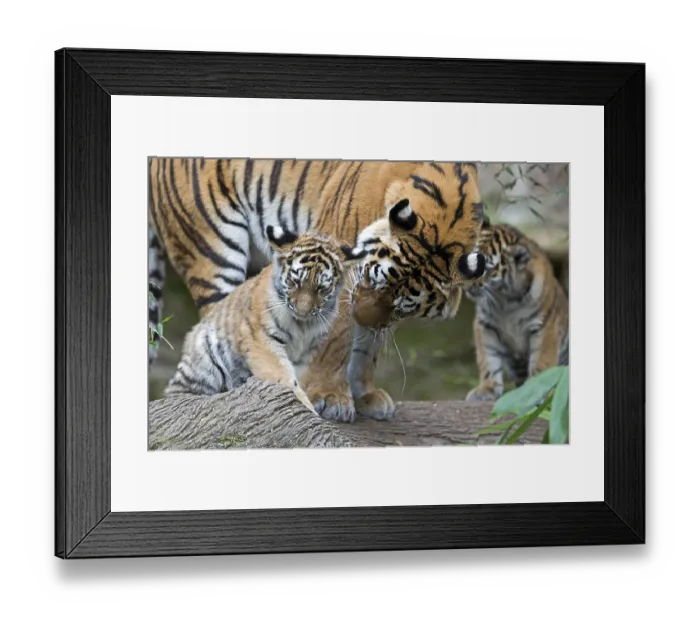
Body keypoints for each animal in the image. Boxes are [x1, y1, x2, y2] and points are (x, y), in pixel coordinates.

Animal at [164, 227, 360, 414]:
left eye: (321, 288)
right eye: (295, 282)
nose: (302, 311)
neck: (303, 325)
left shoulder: (308, 352)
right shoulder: (261, 339)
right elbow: (283, 375)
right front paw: (306, 406)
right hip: (204, 363)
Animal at [462, 222, 569, 403]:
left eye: (485, 267)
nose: (463, 282)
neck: (505, 299)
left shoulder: (545, 326)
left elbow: (541, 360)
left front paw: (535, 390)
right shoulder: (485, 325)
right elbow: (488, 360)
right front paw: (486, 389)